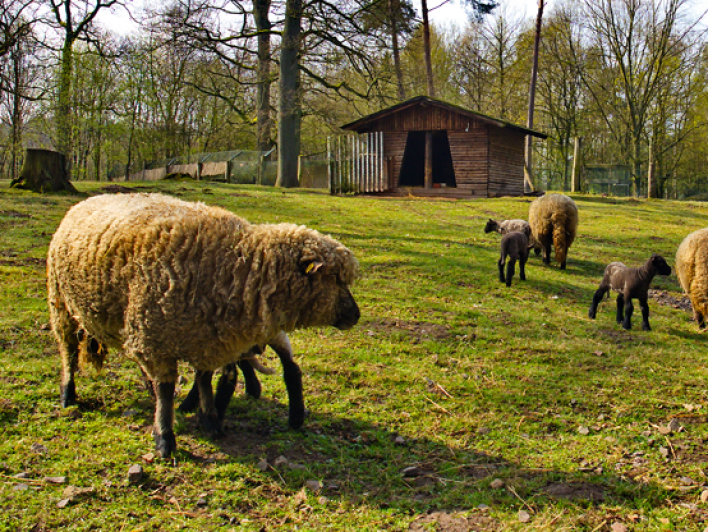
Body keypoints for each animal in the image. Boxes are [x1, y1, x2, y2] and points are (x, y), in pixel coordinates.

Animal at [47, 193, 360, 457]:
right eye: (334, 279)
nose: (355, 315)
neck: (239, 265)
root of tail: (84, 201)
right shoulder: (157, 338)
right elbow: (168, 389)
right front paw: (165, 438)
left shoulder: (207, 339)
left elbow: (205, 380)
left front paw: (208, 419)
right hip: (62, 305)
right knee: (68, 353)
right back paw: (67, 395)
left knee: (285, 365)